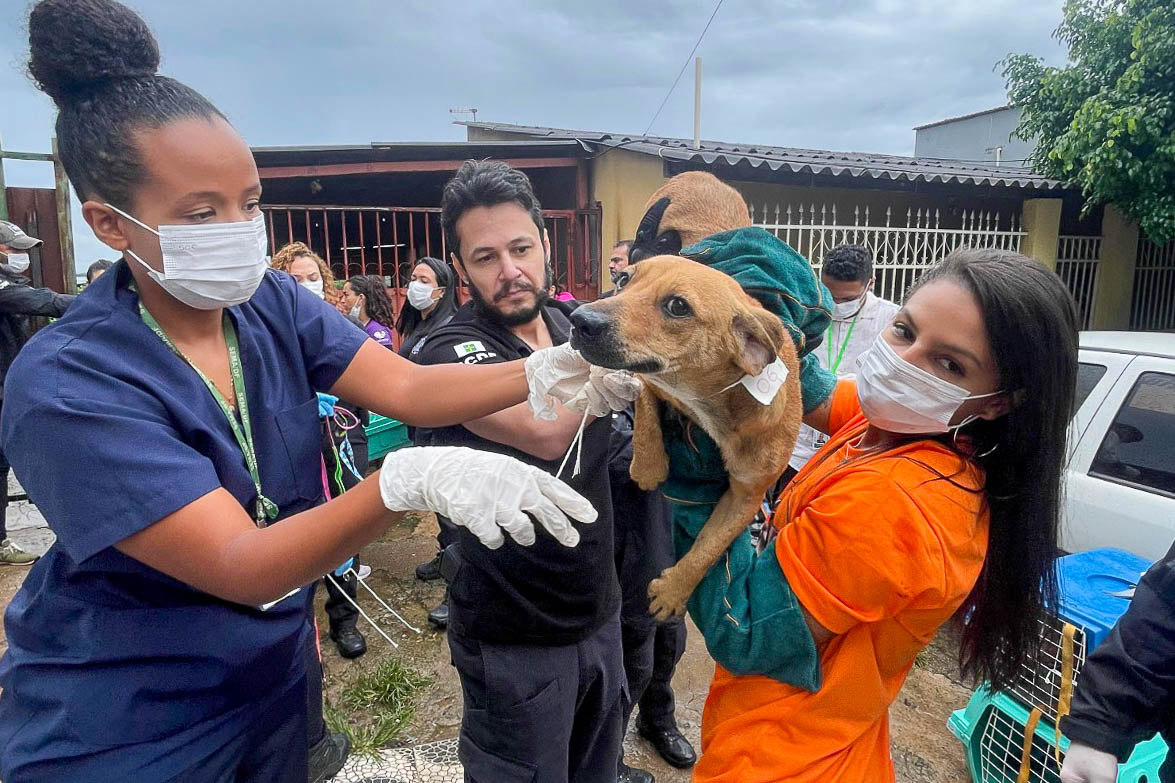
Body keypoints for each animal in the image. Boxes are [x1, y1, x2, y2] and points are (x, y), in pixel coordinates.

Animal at [566, 256, 803, 616]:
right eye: (624, 279)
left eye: (678, 306)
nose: (580, 319)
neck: (714, 405)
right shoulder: (652, 380)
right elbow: (645, 406)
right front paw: (648, 466)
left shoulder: (747, 495)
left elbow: (708, 547)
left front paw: (673, 592)